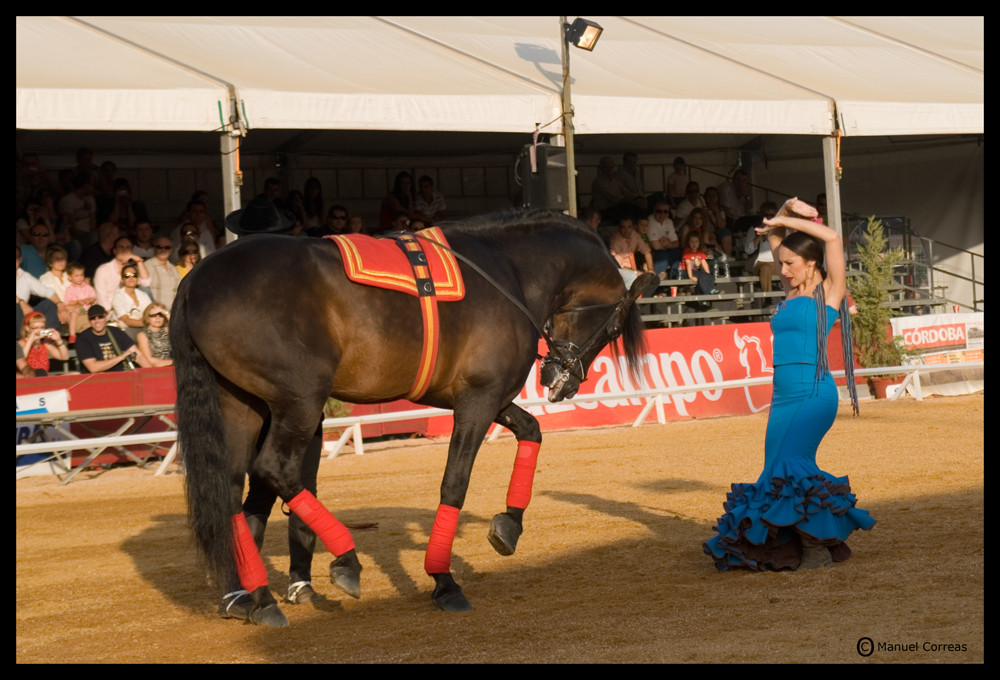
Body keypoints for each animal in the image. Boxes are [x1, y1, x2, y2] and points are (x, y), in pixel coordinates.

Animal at [172, 209, 656, 628]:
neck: (508, 272)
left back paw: (258, 598)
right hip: (299, 402)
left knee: (232, 487)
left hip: (241, 404)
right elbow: (455, 483)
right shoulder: (478, 399)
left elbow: (531, 431)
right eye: (615, 328)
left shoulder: (482, 396)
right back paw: (343, 560)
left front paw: (510, 523)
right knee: (275, 470)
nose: (562, 382)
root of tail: (198, 276)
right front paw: (443, 580)